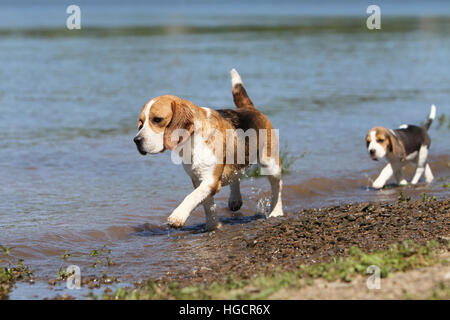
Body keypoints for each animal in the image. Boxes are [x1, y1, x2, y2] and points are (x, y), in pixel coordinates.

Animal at [132, 70, 284, 230]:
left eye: (157, 119)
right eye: (140, 124)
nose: (136, 140)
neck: (193, 141)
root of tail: (250, 108)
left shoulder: (210, 180)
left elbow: (192, 196)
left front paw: (178, 216)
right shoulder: (198, 179)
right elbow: (206, 203)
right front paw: (212, 225)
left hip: (270, 163)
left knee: (277, 187)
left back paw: (276, 212)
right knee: (235, 176)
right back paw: (235, 199)